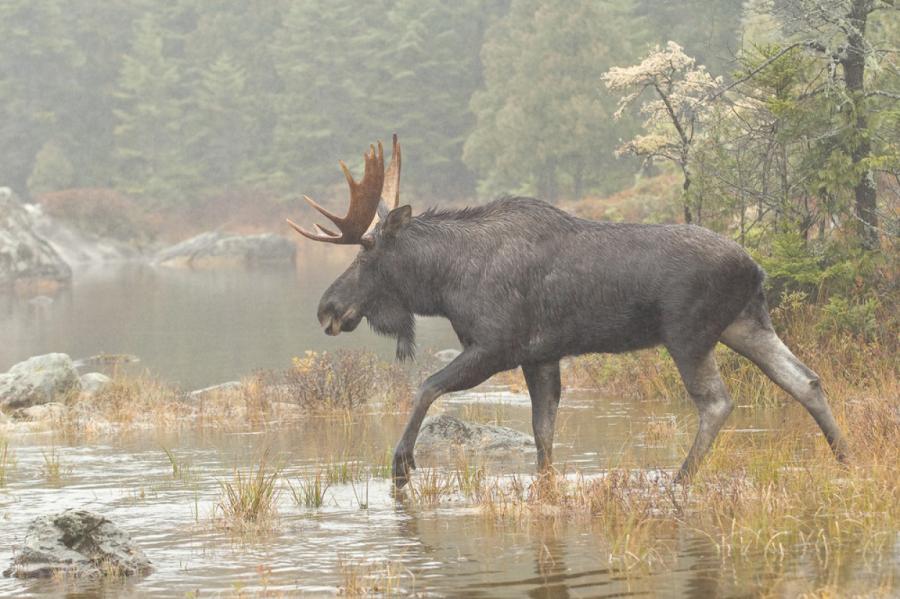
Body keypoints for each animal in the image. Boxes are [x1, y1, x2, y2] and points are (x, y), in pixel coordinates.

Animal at [290, 136, 852, 488]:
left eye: (366, 254)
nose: (326, 308)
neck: (446, 282)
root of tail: (756, 267)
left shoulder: (495, 346)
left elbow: (426, 386)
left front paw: (402, 464)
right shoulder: (540, 356)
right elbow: (544, 435)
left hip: (688, 333)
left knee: (716, 402)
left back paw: (679, 477)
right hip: (745, 324)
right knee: (805, 379)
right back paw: (845, 458)